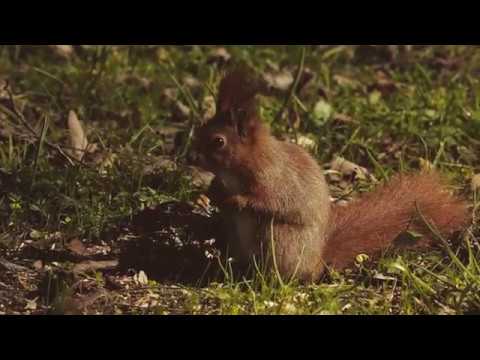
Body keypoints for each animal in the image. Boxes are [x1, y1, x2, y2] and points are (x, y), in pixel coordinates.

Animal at [190, 67, 468, 282]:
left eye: (218, 141)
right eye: (201, 128)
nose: (190, 157)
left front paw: (235, 199)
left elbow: (271, 203)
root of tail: (318, 262)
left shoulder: (275, 179)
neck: (245, 163)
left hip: (279, 240)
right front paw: (212, 190)